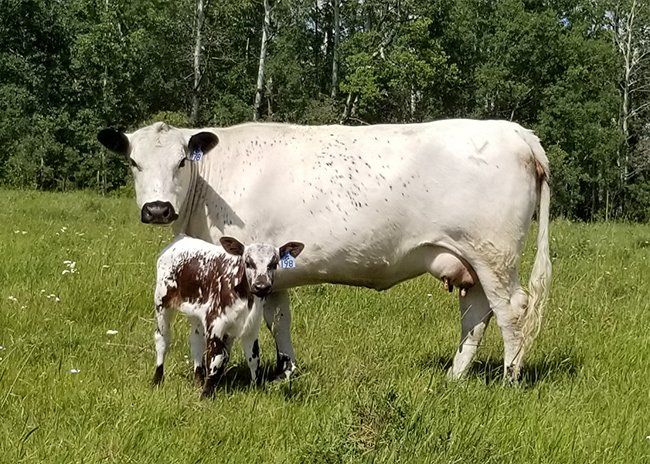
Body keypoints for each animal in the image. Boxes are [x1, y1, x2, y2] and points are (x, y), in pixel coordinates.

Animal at [153, 234, 305, 397]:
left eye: (274, 264)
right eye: (248, 262)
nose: (261, 286)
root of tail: (181, 238)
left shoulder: (251, 327)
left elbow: (254, 357)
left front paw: (256, 388)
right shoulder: (215, 324)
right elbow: (216, 358)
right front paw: (206, 395)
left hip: (196, 313)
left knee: (196, 341)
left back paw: (198, 381)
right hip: (162, 304)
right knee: (162, 339)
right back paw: (157, 380)